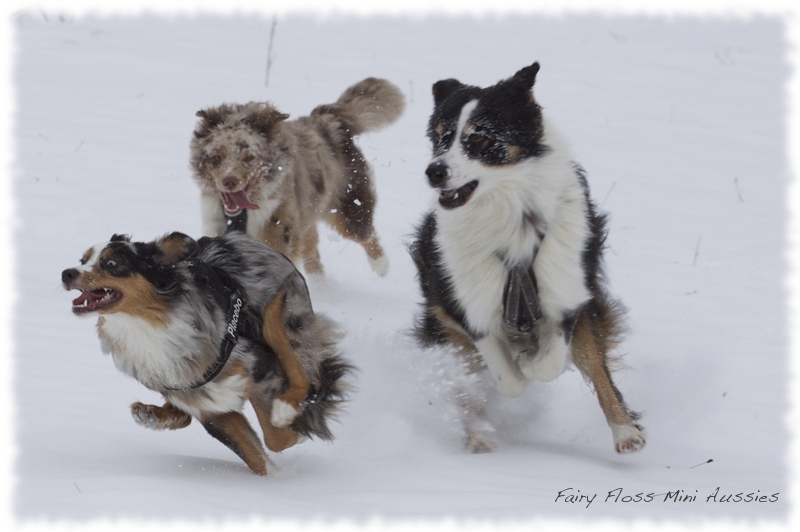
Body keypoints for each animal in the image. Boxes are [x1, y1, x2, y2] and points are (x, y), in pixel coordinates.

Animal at [61, 232, 350, 474]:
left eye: (111, 263)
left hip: (287, 323)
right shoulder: (207, 406)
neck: (148, 324)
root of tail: (244, 237)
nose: (66, 273)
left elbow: (276, 438)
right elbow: (255, 455)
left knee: (299, 365)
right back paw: (150, 414)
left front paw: (289, 421)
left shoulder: (258, 364)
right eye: (83, 260)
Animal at [191, 79, 406, 278]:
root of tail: (330, 118)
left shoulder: (278, 224)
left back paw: (381, 266)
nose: (229, 181)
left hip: (347, 204)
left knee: (365, 233)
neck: (242, 213)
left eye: (249, 158)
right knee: (312, 251)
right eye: (217, 157)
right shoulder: (215, 221)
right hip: (307, 213)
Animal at [410, 62, 648, 454]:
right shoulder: (468, 304)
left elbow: (552, 363)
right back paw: (479, 435)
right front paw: (515, 371)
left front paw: (533, 360)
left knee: (595, 367)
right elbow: (507, 378)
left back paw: (625, 432)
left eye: (479, 140)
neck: (511, 219)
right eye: (440, 137)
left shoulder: (568, 291)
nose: (434, 172)